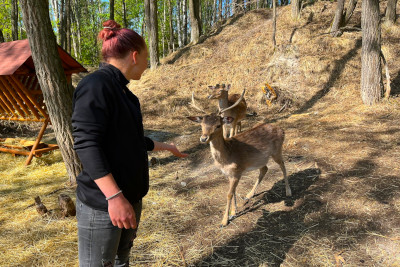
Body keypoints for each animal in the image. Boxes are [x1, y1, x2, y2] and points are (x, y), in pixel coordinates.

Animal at [186, 95, 292, 227]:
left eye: (218, 125)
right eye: (201, 125)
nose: (203, 138)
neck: (226, 157)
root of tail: (282, 130)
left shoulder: (237, 172)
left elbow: (229, 194)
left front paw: (224, 221)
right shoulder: (229, 174)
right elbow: (234, 191)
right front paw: (233, 212)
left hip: (277, 151)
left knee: (283, 165)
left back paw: (288, 191)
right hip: (260, 159)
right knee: (264, 169)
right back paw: (248, 195)